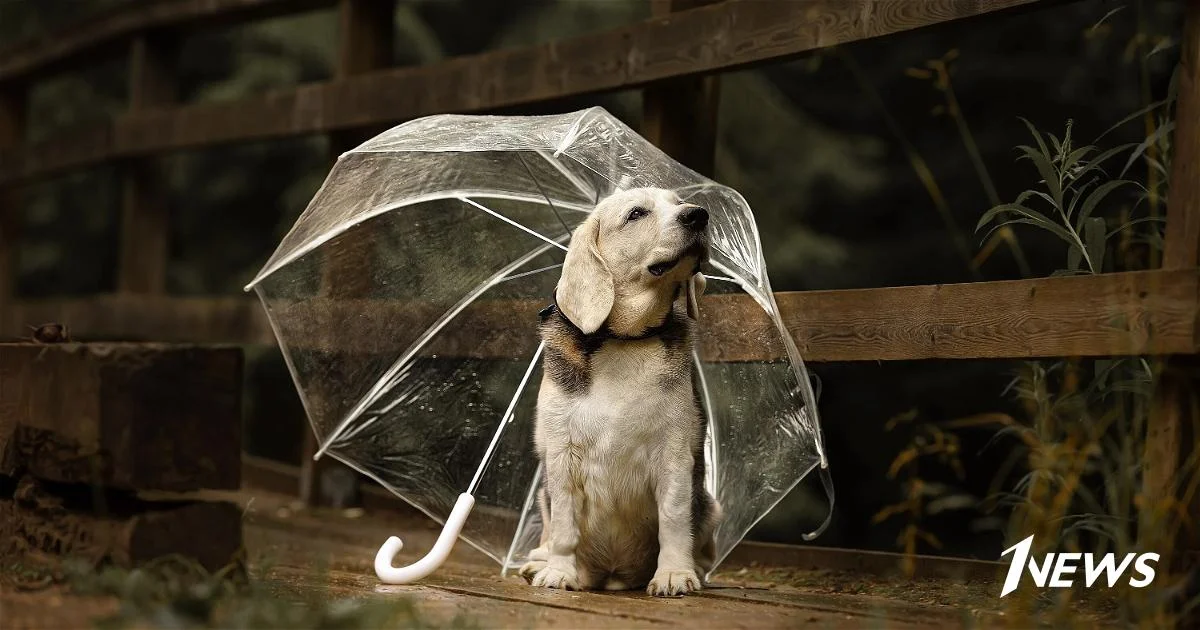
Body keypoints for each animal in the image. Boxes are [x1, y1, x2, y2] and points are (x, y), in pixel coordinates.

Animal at [518, 186, 720, 595]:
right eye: (636, 213)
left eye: (679, 203)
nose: (698, 215)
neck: (625, 340)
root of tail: (613, 575)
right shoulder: (560, 456)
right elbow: (564, 527)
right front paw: (559, 572)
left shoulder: (675, 455)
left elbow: (674, 520)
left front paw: (674, 573)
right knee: (548, 535)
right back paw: (540, 564)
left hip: (710, 506)